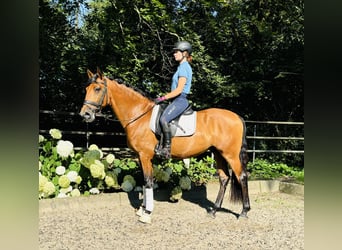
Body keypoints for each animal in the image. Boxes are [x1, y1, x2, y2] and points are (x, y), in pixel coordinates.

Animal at [80, 67, 251, 224]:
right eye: (86, 89)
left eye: (97, 89)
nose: (85, 114)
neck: (139, 115)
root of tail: (237, 117)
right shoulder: (140, 156)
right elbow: (144, 182)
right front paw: (142, 209)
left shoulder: (145, 156)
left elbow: (148, 182)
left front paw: (147, 213)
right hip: (218, 153)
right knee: (224, 178)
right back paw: (214, 210)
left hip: (230, 155)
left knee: (241, 176)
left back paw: (244, 212)